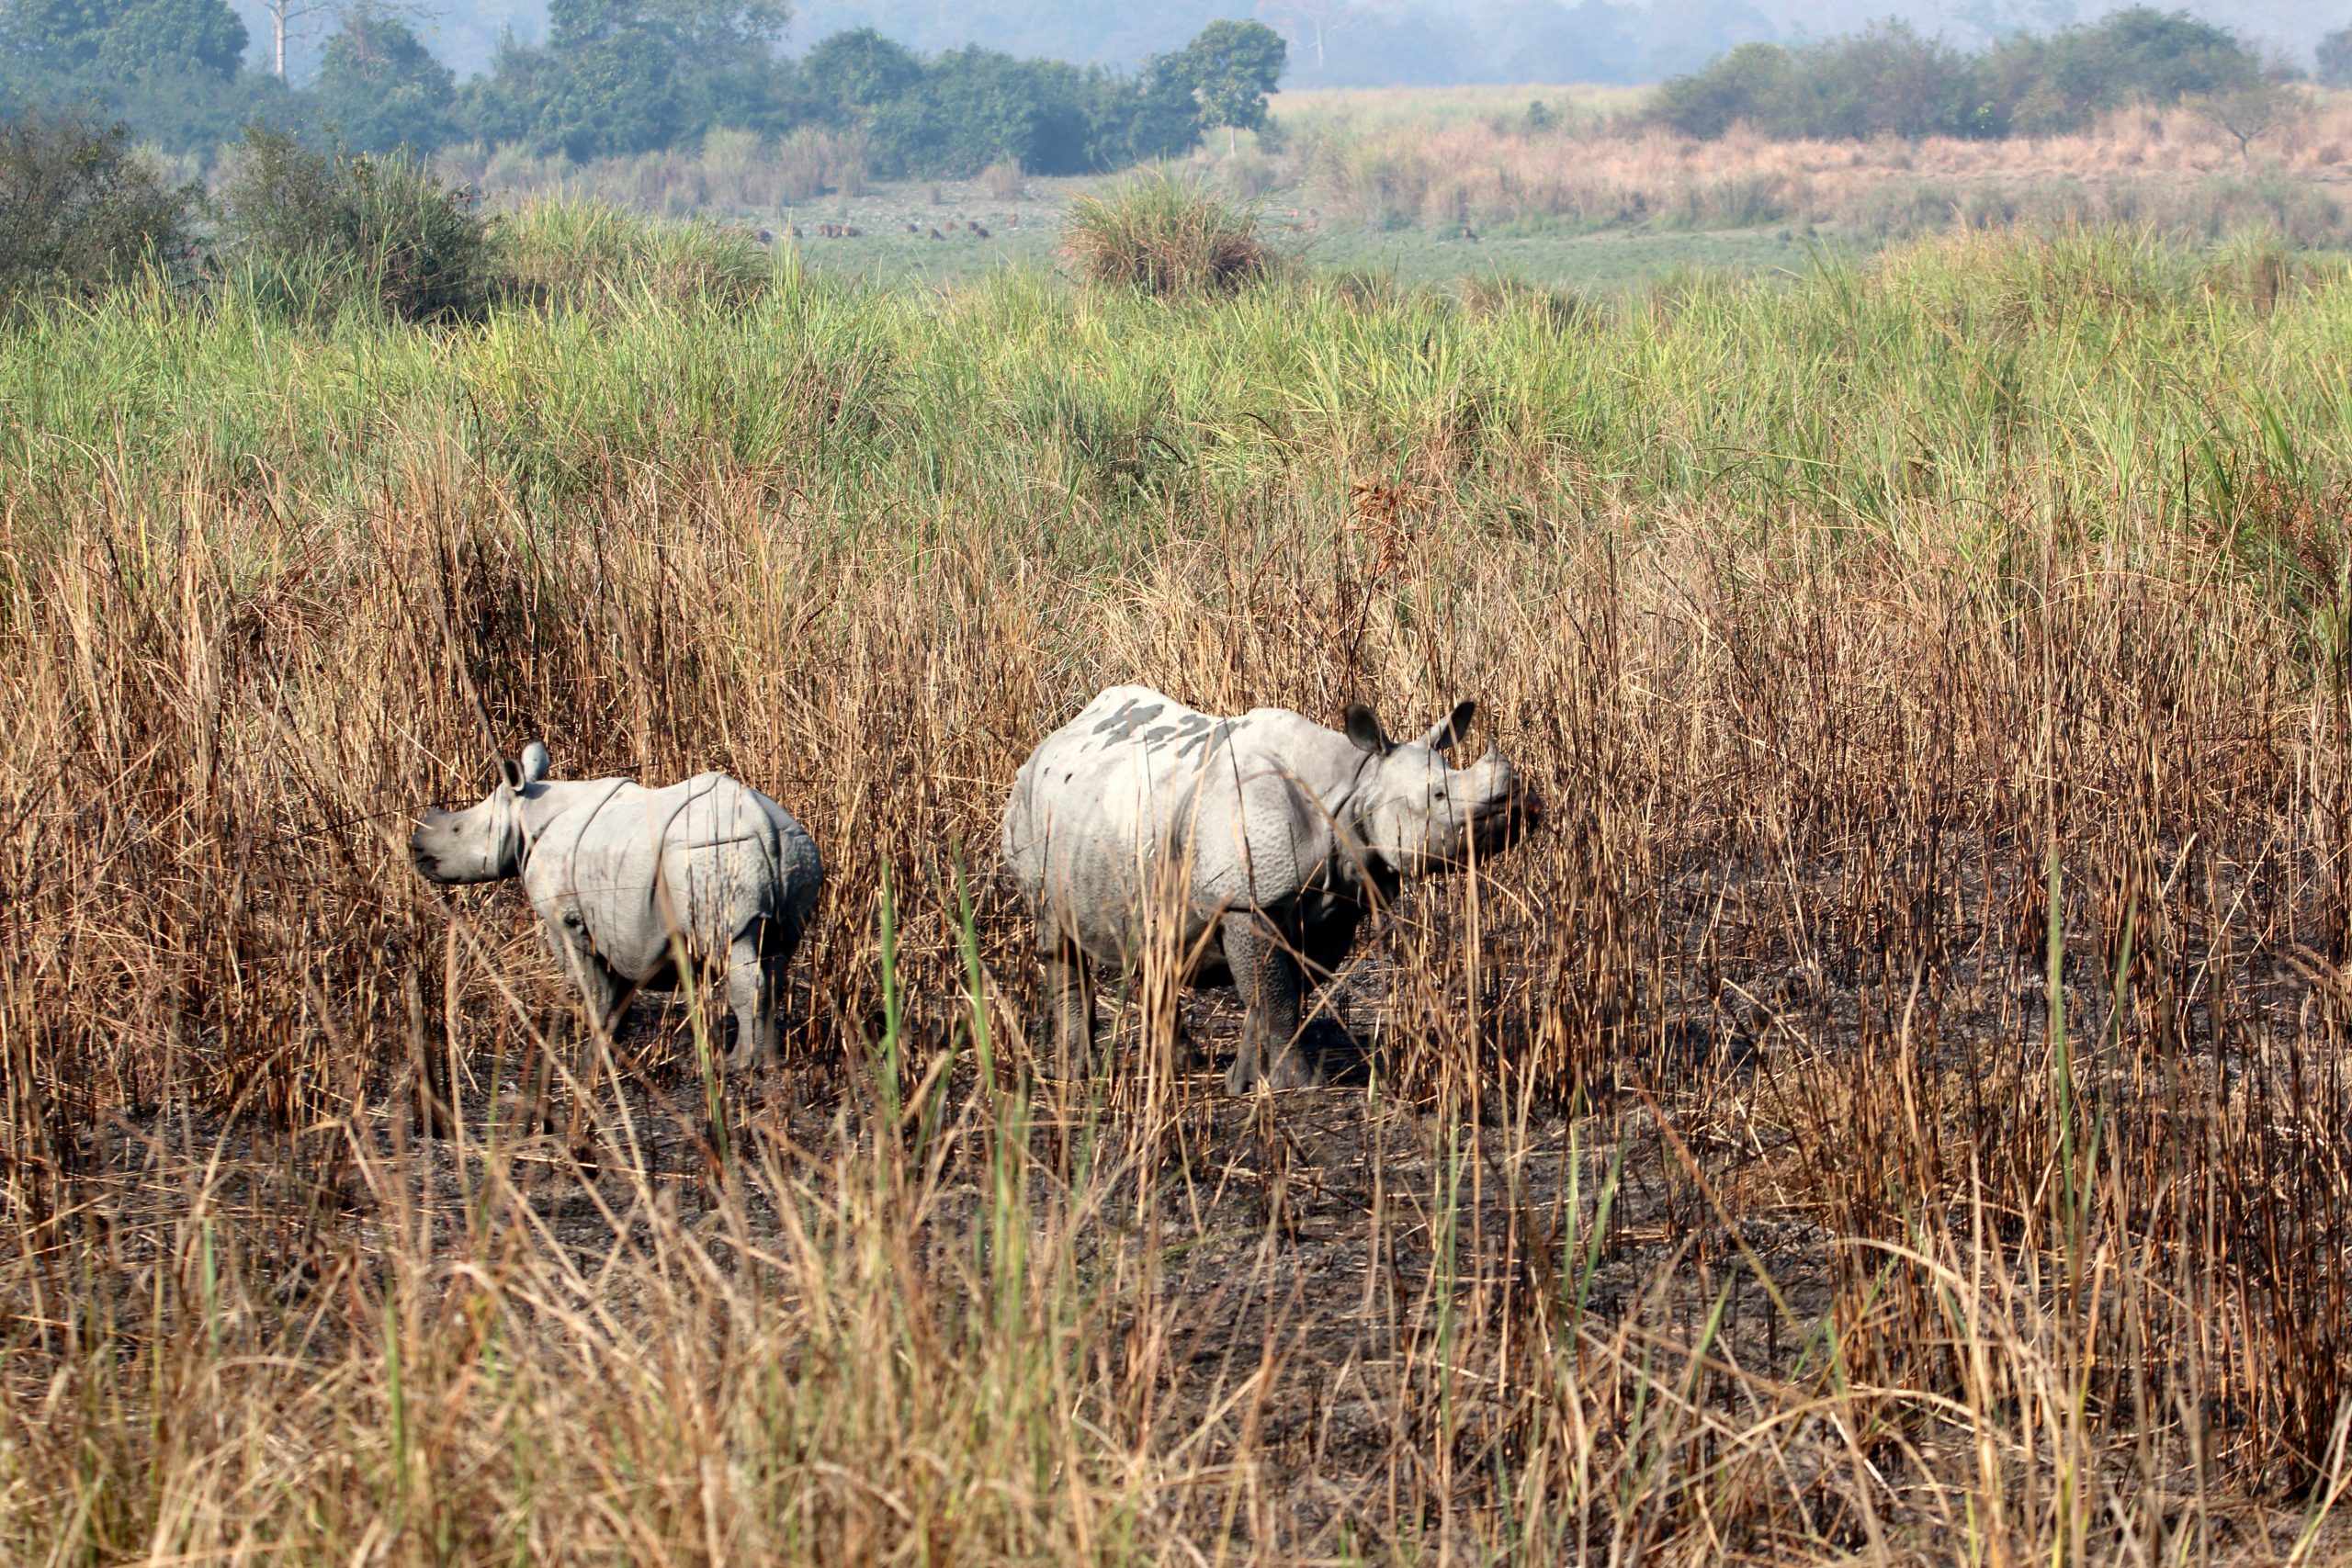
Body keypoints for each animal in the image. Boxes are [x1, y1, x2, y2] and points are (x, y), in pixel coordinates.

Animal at [413, 747, 828, 1066]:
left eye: (456, 830)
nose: (417, 851)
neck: (526, 813)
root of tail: (764, 823)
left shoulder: (567, 919)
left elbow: (593, 988)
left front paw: (591, 1057)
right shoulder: (613, 918)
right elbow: (617, 988)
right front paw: (613, 1048)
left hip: (715, 853)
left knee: (736, 948)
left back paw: (739, 1066)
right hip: (794, 848)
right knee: (775, 953)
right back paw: (766, 1062)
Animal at [1006, 686, 1543, 1090]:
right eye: (1438, 796)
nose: (1522, 811)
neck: (1356, 784)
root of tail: (1053, 739)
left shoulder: (1333, 906)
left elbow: (1277, 994)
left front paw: (1247, 1083)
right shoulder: (1248, 901)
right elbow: (1276, 997)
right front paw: (1299, 1085)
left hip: (1127, 817)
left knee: (1155, 941)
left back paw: (1184, 1066)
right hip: (1032, 809)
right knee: (1057, 937)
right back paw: (1078, 1075)